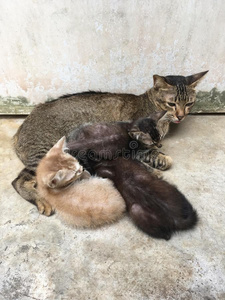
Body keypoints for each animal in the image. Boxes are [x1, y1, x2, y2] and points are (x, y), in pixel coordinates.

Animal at [11, 70, 207, 216]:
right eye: (171, 104)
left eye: (189, 103)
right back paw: (42, 200)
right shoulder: (134, 143)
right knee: (19, 180)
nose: (181, 116)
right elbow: (149, 156)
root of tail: (20, 130)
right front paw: (157, 165)